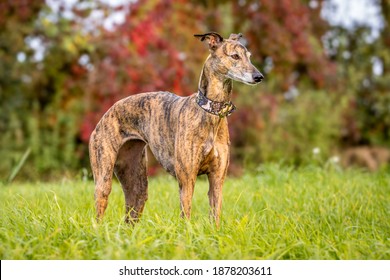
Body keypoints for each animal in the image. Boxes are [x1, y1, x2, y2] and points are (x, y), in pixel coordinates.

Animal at [90, 31, 264, 226]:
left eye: (249, 56)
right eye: (235, 56)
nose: (259, 76)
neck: (209, 111)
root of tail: (108, 113)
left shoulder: (217, 179)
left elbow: (215, 216)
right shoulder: (187, 179)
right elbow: (186, 214)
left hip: (137, 184)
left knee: (131, 214)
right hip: (104, 178)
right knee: (100, 210)